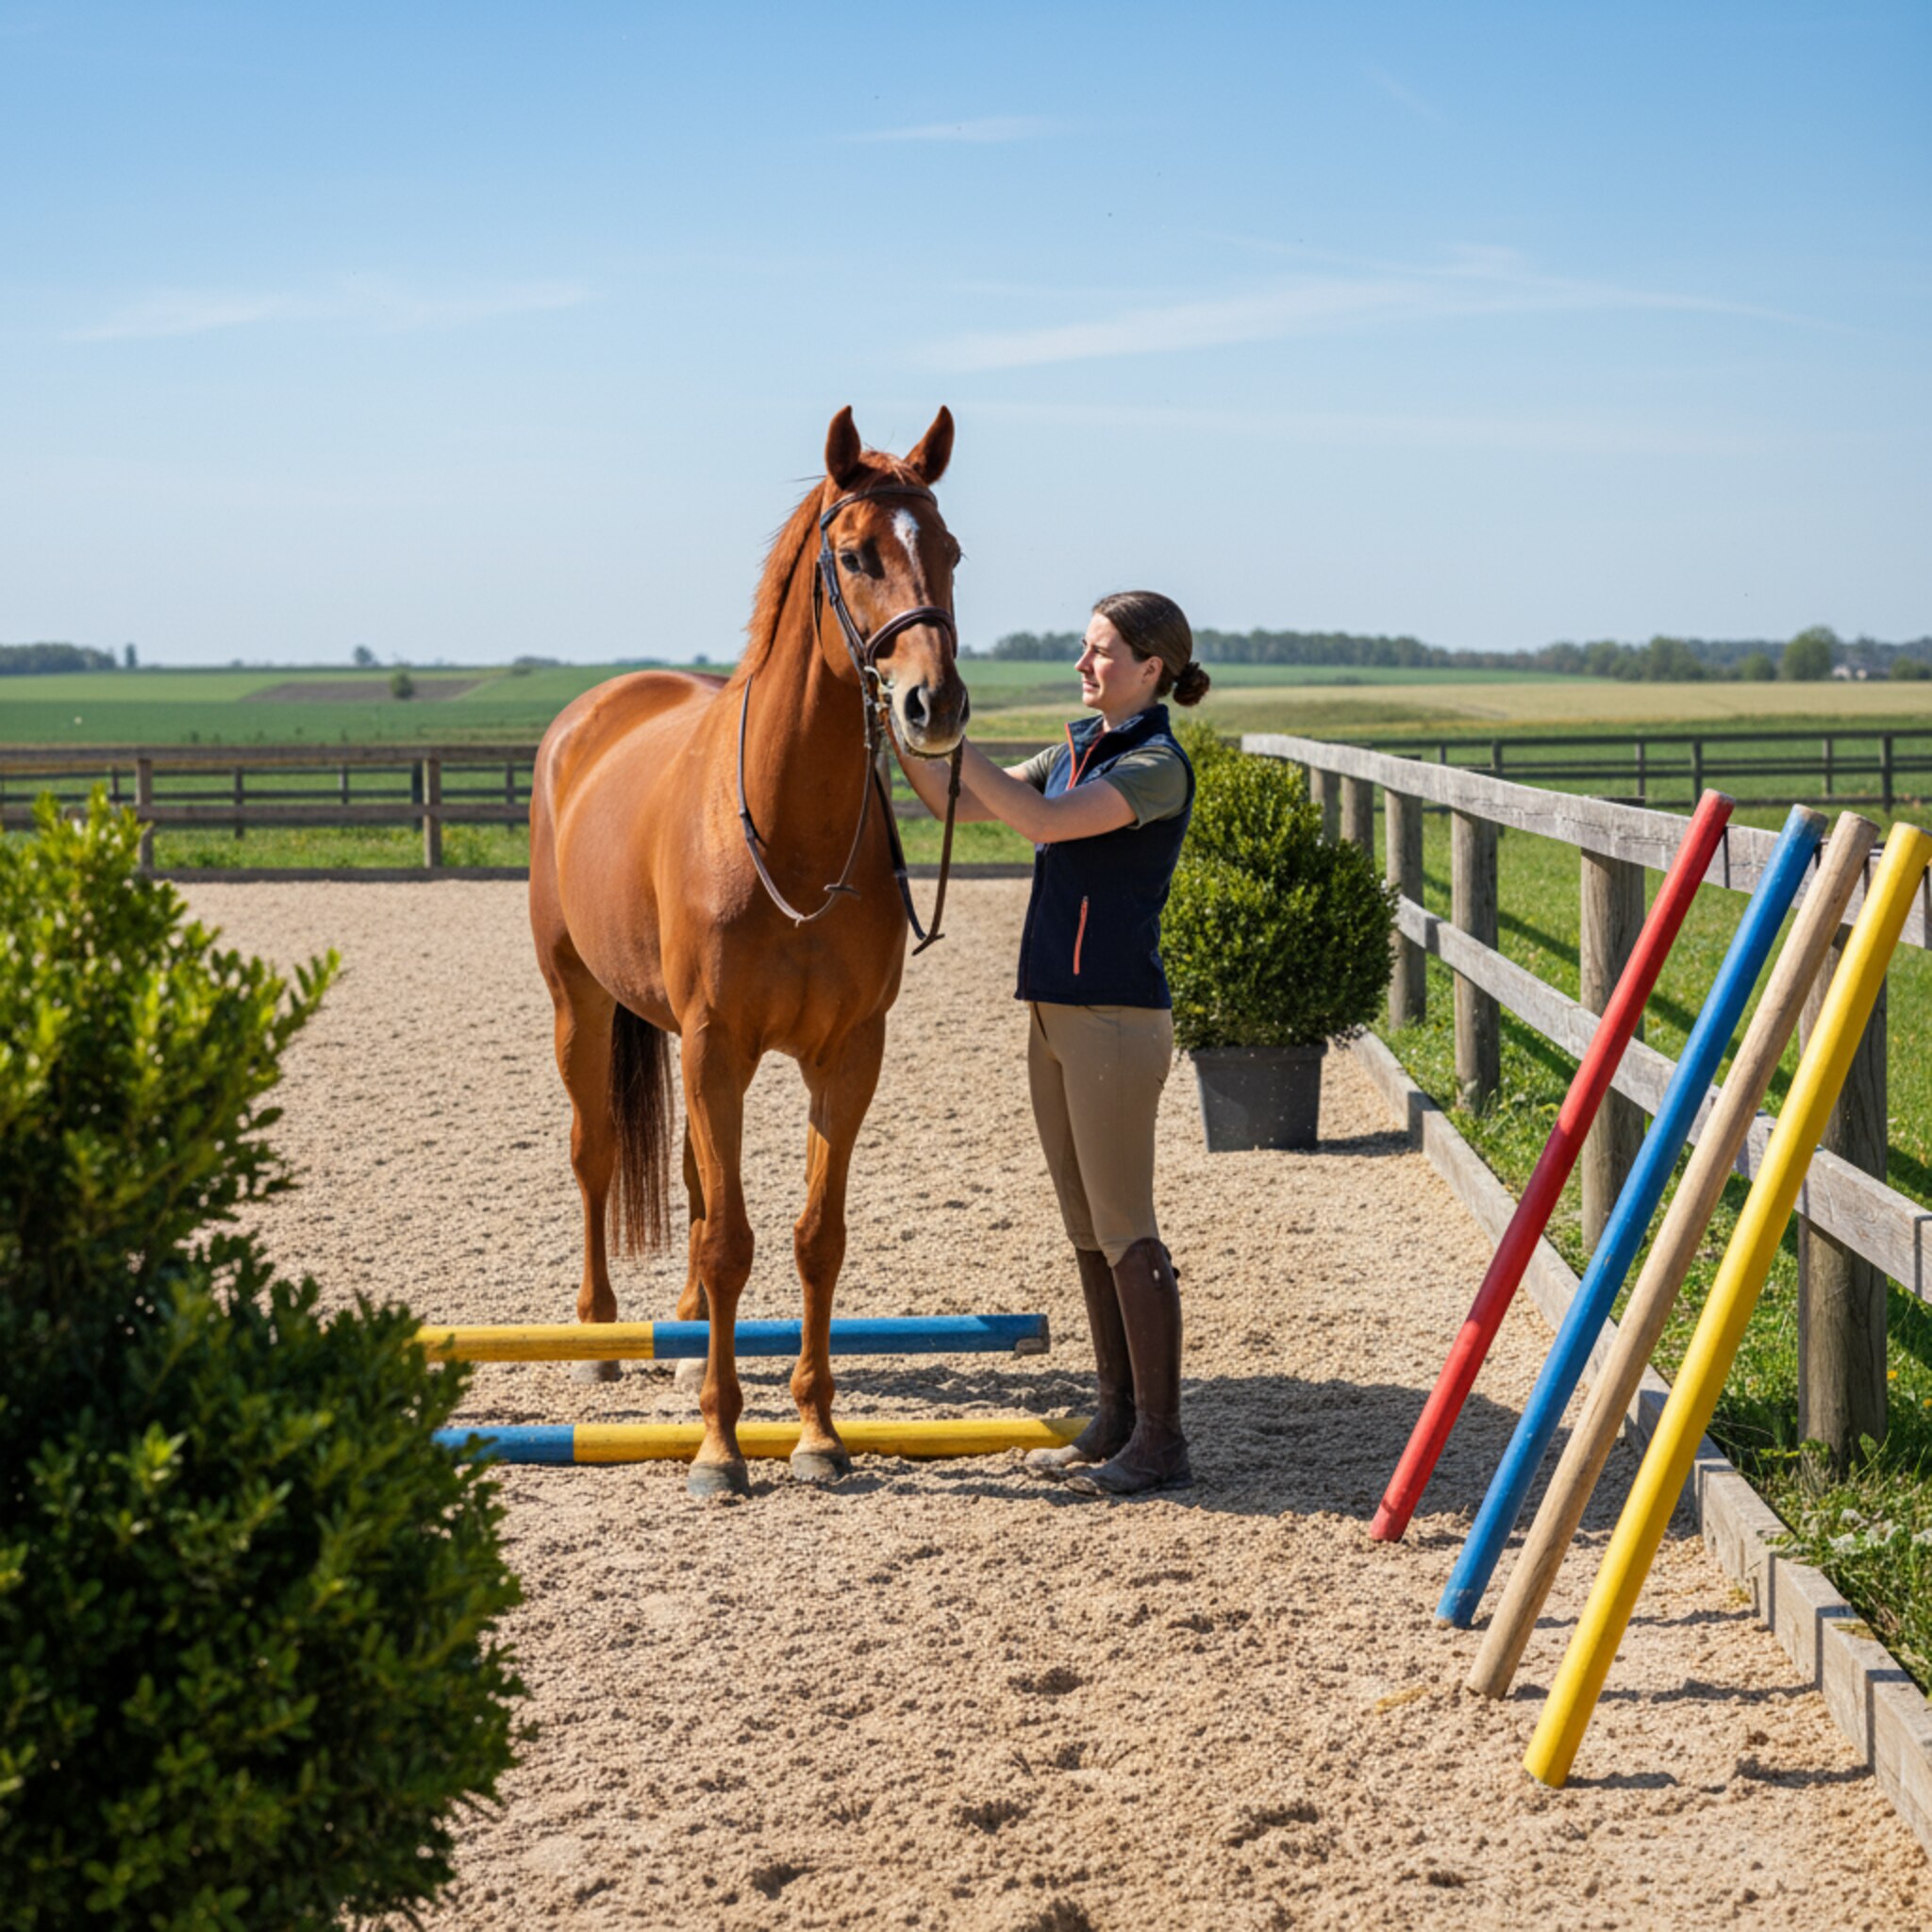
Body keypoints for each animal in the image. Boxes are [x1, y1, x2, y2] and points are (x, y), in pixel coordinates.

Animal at [528, 406, 970, 1498]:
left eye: (948, 550)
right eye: (854, 555)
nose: (933, 706)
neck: (790, 833)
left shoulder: (846, 1054)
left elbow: (815, 1237)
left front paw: (815, 1432)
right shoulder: (715, 1045)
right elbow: (731, 1240)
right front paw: (719, 1449)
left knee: (691, 1179)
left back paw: (684, 1335)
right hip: (580, 1003)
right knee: (597, 1154)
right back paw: (601, 1333)